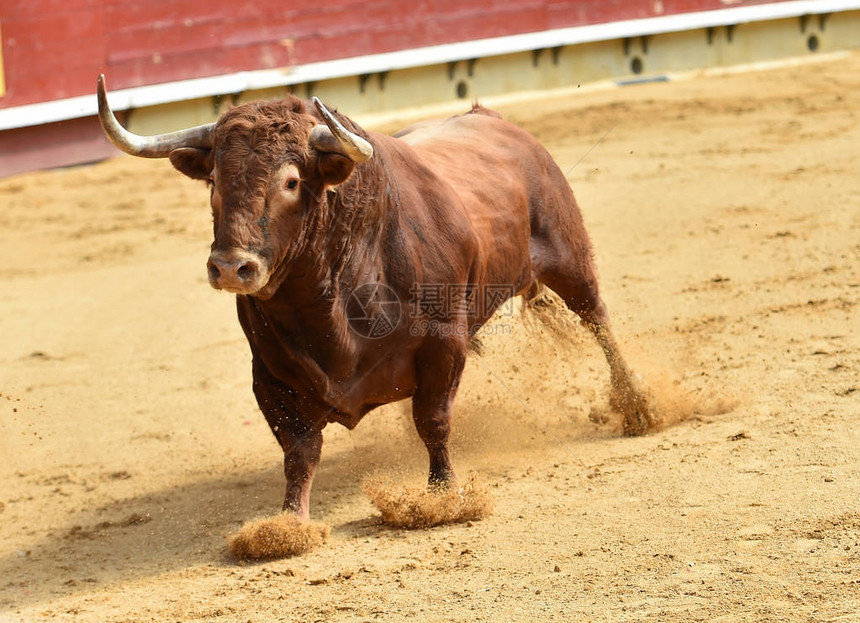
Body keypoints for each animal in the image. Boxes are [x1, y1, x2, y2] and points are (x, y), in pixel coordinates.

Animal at [97, 77, 656, 520]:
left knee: (599, 321)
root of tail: (494, 120)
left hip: (570, 257)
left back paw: (639, 408)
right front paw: (287, 523)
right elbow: (299, 450)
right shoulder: (270, 374)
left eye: (291, 181)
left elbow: (433, 421)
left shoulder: (443, 344)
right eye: (214, 180)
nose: (232, 266)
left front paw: (442, 496)